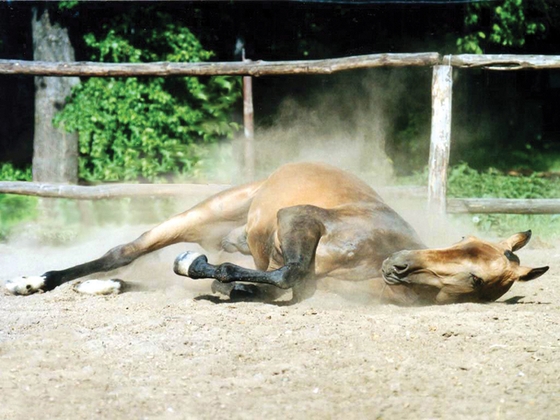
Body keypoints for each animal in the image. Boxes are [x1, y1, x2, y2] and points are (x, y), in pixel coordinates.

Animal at [3, 162, 548, 306]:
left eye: (477, 279)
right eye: (460, 242)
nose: (399, 266)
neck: (368, 258)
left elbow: (276, 282)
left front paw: (225, 285)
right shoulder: (300, 217)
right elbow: (291, 271)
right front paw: (199, 269)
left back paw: (97, 287)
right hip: (203, 213)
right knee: (126, 250)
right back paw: (37, 281)